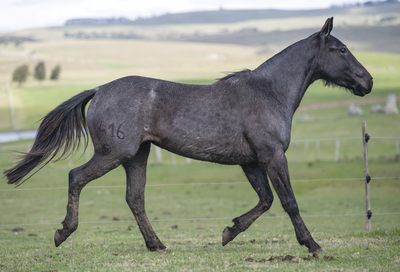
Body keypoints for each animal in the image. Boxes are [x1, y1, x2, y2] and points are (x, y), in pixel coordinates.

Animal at [3, 18, 372, 254]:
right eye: (341, 49)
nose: (366, 82)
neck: (269, 92)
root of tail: (100, 89)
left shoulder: (252, 162)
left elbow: (265, 201)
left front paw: (228, 232)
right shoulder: (272, 156)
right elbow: (288, 201)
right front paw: (314, 246)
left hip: (137, 155)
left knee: (135, 198)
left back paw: (157, 245)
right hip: (114, 153)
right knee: (76, 177)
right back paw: (63, 232)